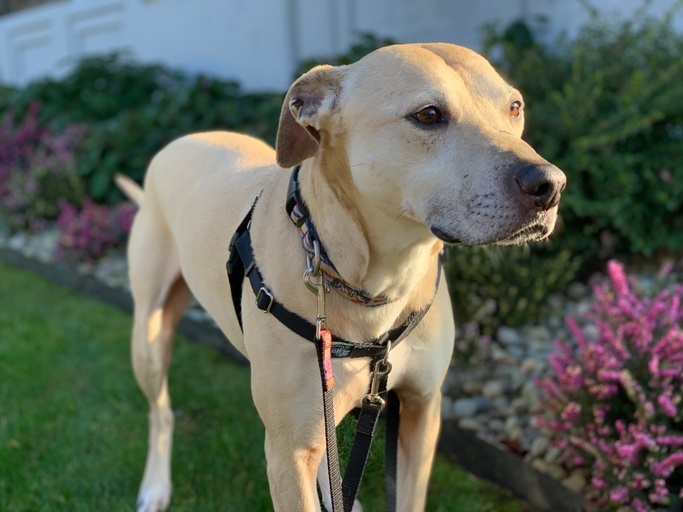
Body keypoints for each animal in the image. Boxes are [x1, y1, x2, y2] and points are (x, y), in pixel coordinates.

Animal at [117, 42, 568, 510]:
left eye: (514, 107)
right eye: (428, 114)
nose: (551, 185)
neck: (378, 282)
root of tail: (180, 141)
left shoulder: (421, 412)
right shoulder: (287, 455)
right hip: (148, 340)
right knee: (160, 411)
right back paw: (155, 486)